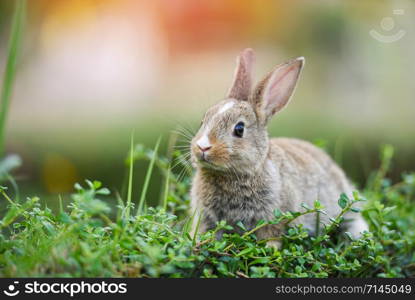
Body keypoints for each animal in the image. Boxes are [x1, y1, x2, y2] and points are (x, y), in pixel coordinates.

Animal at [190, 48, 368, 247]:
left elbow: (273, 235)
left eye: (239, 129)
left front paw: (270, 249)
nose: (202, 147)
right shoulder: (207, 219)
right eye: (203, 121)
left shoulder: (275, 217)